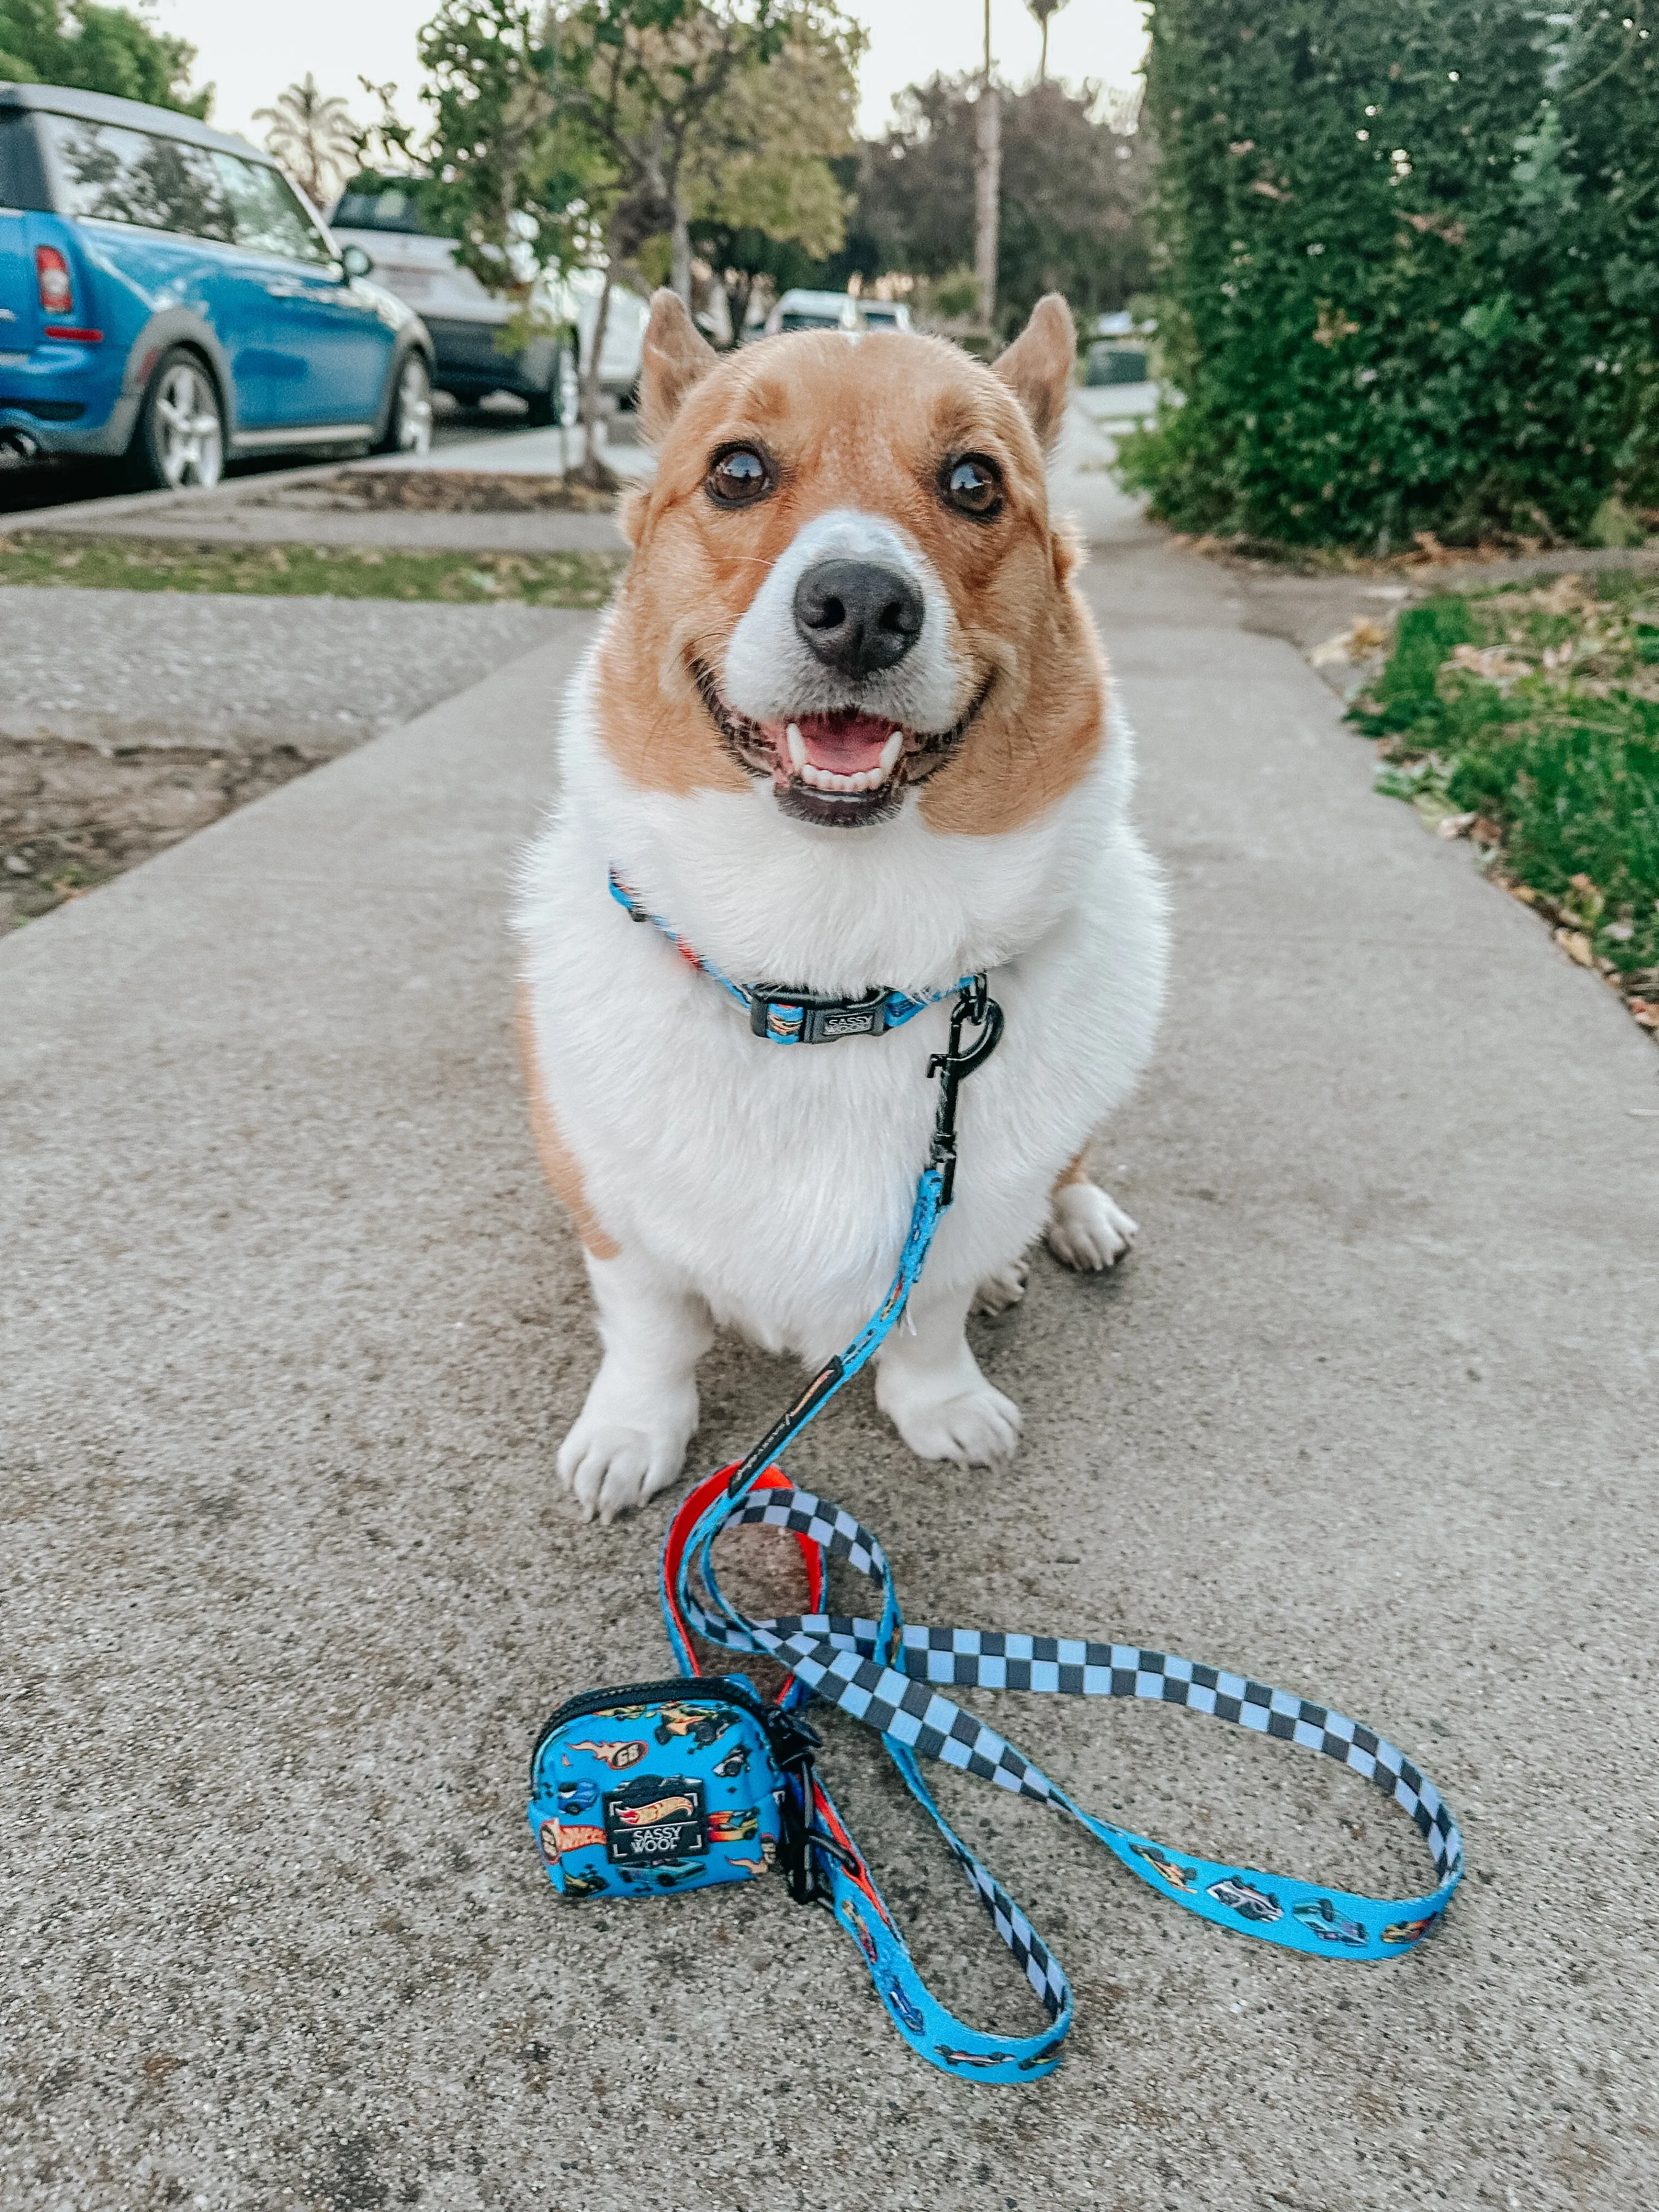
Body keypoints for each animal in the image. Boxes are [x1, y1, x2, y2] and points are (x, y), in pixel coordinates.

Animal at [520, 290, 1167, 1522]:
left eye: (974, 482)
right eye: (735, 470)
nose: (861, 607)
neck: (825, 963)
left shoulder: (948, 1220)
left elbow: (925, 1317)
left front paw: (946, 1407)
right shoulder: (612, 1211)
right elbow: (650, 1332)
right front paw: (630, 1436)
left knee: (1065, 1170)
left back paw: (1075, 1224)